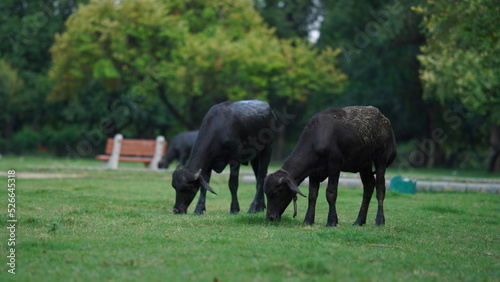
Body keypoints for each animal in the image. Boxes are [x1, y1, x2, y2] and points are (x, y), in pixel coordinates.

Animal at [264, 106, 396, 227]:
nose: (270, 217)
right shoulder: (313, 172)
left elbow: (331, 193)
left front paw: (332, 221)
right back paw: (359, 221)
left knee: (380, 188)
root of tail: (385, 121)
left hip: (380, 158)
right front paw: (308, 220)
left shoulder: (334, 165)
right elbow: (312, 195)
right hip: (364, 164)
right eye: (266, 193)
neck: (317, 139)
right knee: (368, 186)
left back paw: (379, 221)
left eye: (275, 193)